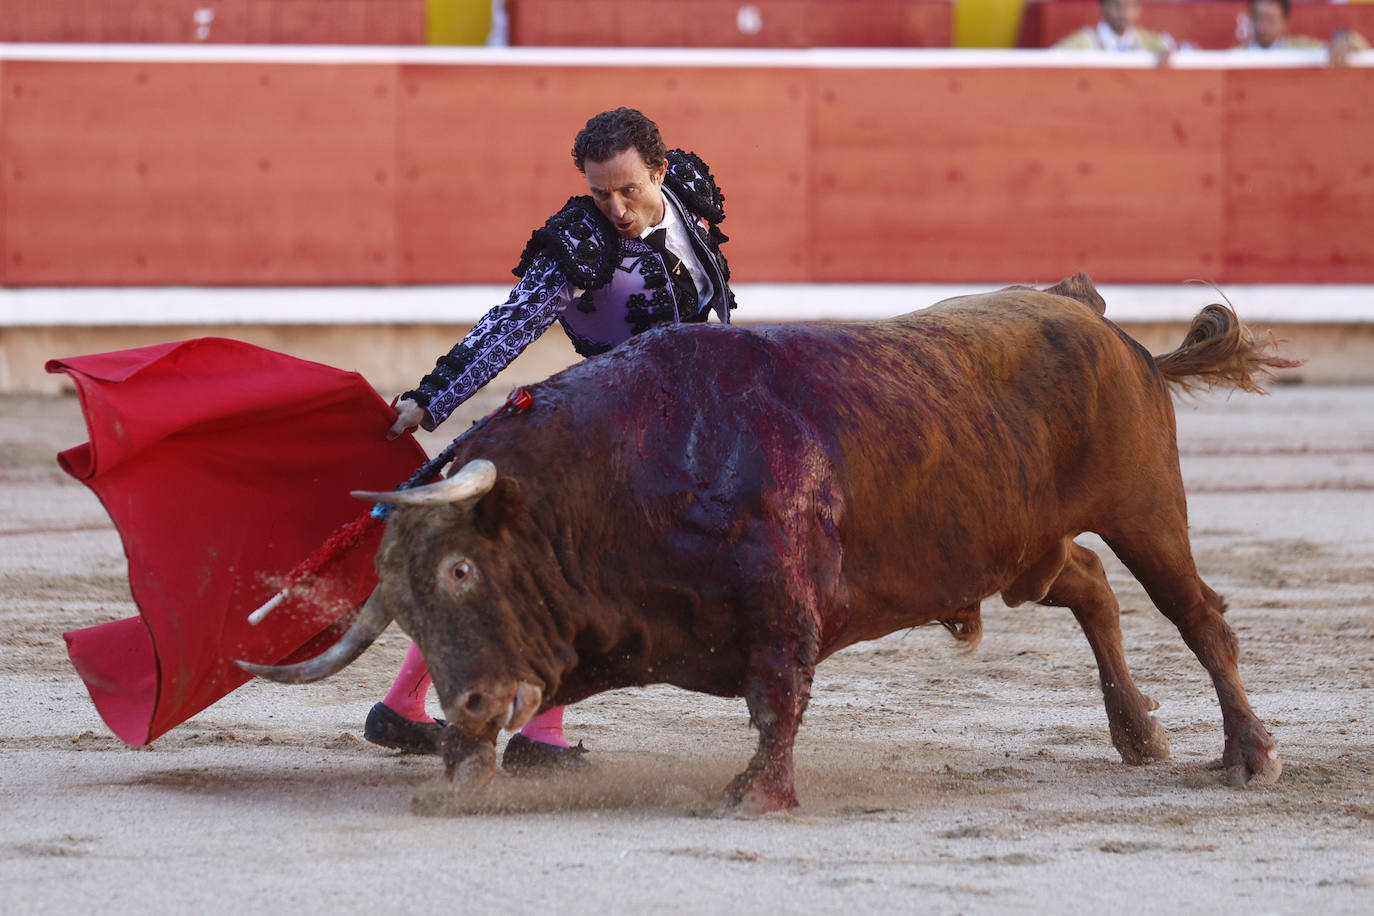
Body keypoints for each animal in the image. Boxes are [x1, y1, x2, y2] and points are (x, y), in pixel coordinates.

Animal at [239, 276, 1297, 813]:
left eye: (462, 569)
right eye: (407, 609)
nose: (468, 706)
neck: (609, 488)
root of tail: (1091, 313)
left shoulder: (783, 592)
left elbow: (777, 693)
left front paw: (755, 795)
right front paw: (458, 769)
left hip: (1145, 507)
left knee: (1196, 616)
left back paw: (1247, 757)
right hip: (1018, 549)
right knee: (1088, 586)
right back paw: (1139, 735)